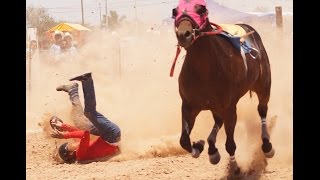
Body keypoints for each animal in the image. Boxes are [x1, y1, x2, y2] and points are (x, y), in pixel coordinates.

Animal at [171, 0, 274, 174]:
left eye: (201, 10)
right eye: (175, 11)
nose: (184, 34)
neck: (204, 70)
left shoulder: (229, 108)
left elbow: (230, 144)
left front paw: (234, 167)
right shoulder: (188, 106)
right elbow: (184, 140)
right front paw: (199, 145)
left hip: (263, 86)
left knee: (262, 110)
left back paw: (267, 146)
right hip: (215, 106)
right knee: (218, 121)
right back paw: (212, 149)